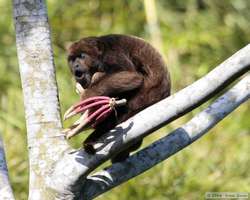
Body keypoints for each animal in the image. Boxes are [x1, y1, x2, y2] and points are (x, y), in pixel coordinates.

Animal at [67, 34, 171, 162]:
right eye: (72, 60)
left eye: (82, 56)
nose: (75, 65)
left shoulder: (113, 54)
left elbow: (132, 76)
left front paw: (87, 97)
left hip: (142, 99)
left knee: (100, 75)